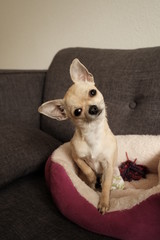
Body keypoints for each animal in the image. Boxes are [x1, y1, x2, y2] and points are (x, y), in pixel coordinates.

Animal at [38, 58, 117, 214]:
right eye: (77, 112)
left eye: (92, 92)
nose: (92, 108)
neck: (93, 133)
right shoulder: (76, 157)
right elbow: (87, 169)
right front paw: (92, 180)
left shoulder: (109, 166)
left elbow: (105, 185)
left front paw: (104, 202)